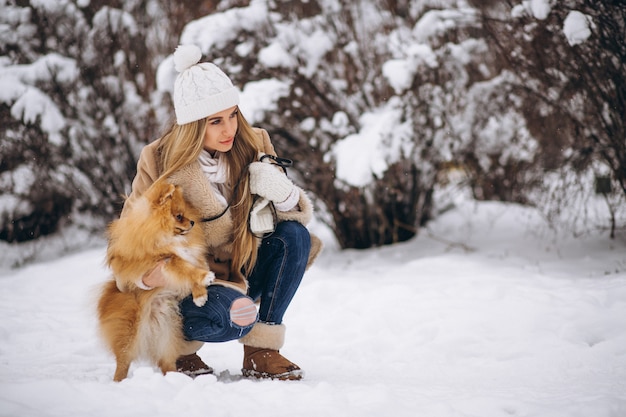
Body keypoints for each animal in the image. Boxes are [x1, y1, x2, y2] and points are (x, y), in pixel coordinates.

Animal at [96, 179, 213, 380]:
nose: (191, 222)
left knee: (166, 362)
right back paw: (119, 382)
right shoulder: (163, 260)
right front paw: (204, 277)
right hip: (129, 334)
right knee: (123, 361)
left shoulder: (193, 257)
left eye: (185, 213)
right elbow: (184, 268)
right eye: (179, 216)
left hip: (167, 333)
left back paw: (176, 379)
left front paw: (200, 295)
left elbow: (191, 272)